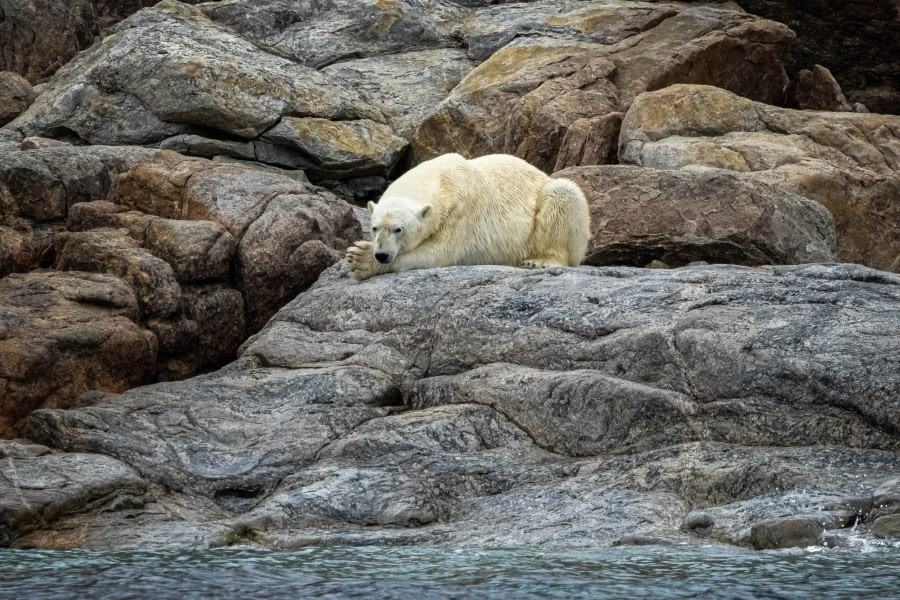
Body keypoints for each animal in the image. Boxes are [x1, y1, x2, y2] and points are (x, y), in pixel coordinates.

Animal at [344, 152, 592, 278]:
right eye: (374, 228)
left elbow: (440, 252)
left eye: (399, 229)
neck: (442, 178)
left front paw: (360, 259)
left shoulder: (462, 209)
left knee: (563, 192)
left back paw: (540, 260)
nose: (382, 255)